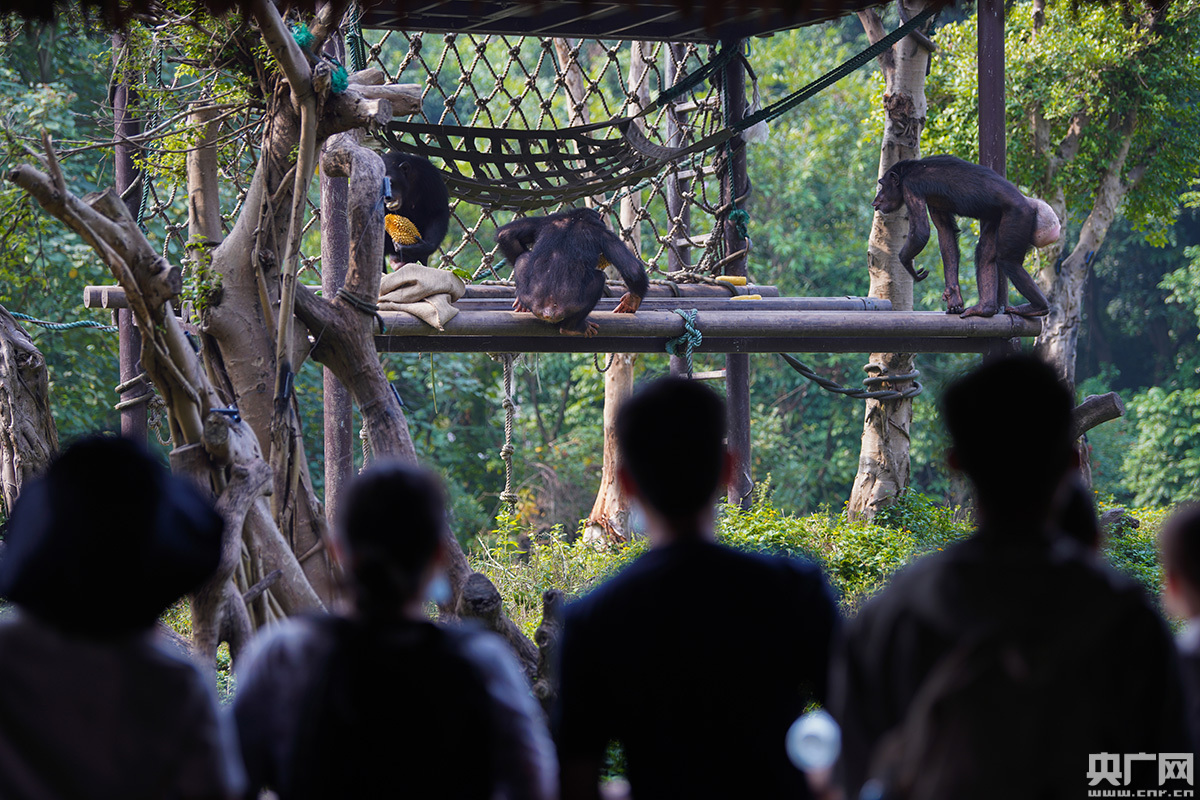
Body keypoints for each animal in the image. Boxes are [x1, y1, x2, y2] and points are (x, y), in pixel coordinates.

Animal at [495, 207, 649, 337]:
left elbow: (506, 235)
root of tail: (548, 310)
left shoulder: (546, 220)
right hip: (568, 307)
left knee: (522, 258)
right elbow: (633, 269)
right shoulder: (604, 234)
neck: (576, 218)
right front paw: (633, 300)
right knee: (599, 278)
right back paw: (572, 328)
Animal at [871, 154, 1054, 318]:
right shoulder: (934, 204)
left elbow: (921, 232)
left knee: (1008, 261)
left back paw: (1037, 307)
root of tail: (1030, 204)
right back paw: (985, 308)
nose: (876, 200)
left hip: (1018, 217)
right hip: (999, 219)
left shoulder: (911, 187)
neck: (907, 173)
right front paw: (954, 298)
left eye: (882, 186)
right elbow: (945, 232)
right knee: (985, 253)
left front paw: (908, 264)